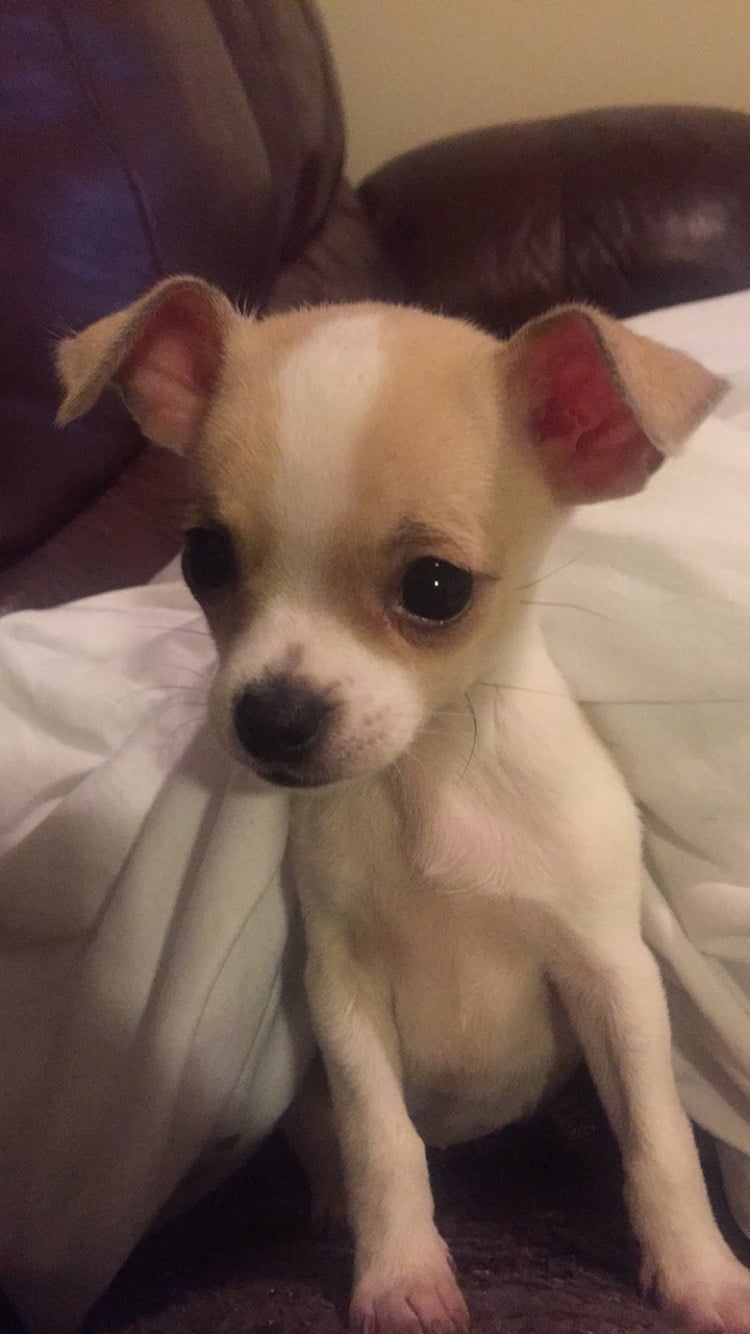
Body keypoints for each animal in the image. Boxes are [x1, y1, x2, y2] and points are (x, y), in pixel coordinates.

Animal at [58, 277, 750, 1334]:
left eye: (435, 587)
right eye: (205, 559)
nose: (272, 717)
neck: (431, 781)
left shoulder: (614, 978)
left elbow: (659, 1138)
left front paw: (700, 1273)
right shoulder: (342, 1000)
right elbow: (381, 1140)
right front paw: (400, 1274)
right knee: (329, 1142)